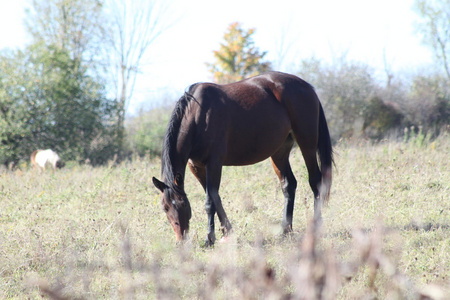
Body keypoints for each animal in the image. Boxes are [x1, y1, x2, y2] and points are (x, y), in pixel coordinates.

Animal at [153, 71, 332, 245]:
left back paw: (314, 226)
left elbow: (210, 201)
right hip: (279, 152)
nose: (180, 240)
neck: (198, 116)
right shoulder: (197, 167)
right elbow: (216, 198)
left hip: (307, 144)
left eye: (182, 204)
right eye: (165, 208)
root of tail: (308, 87)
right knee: (289, 185)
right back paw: (285, 230)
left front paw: (210, 238)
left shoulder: (214, 163)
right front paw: (227, 233)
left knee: (316, 181)